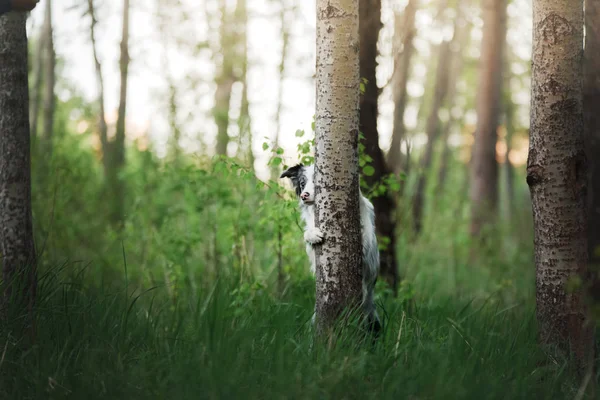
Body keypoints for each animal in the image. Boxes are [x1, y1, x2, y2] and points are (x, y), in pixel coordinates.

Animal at [280, 162, 380, 334]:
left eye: (317, 181)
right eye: (302, 183)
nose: (304, 195)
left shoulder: (368, 248)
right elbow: (307, 235)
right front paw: (312, 234)